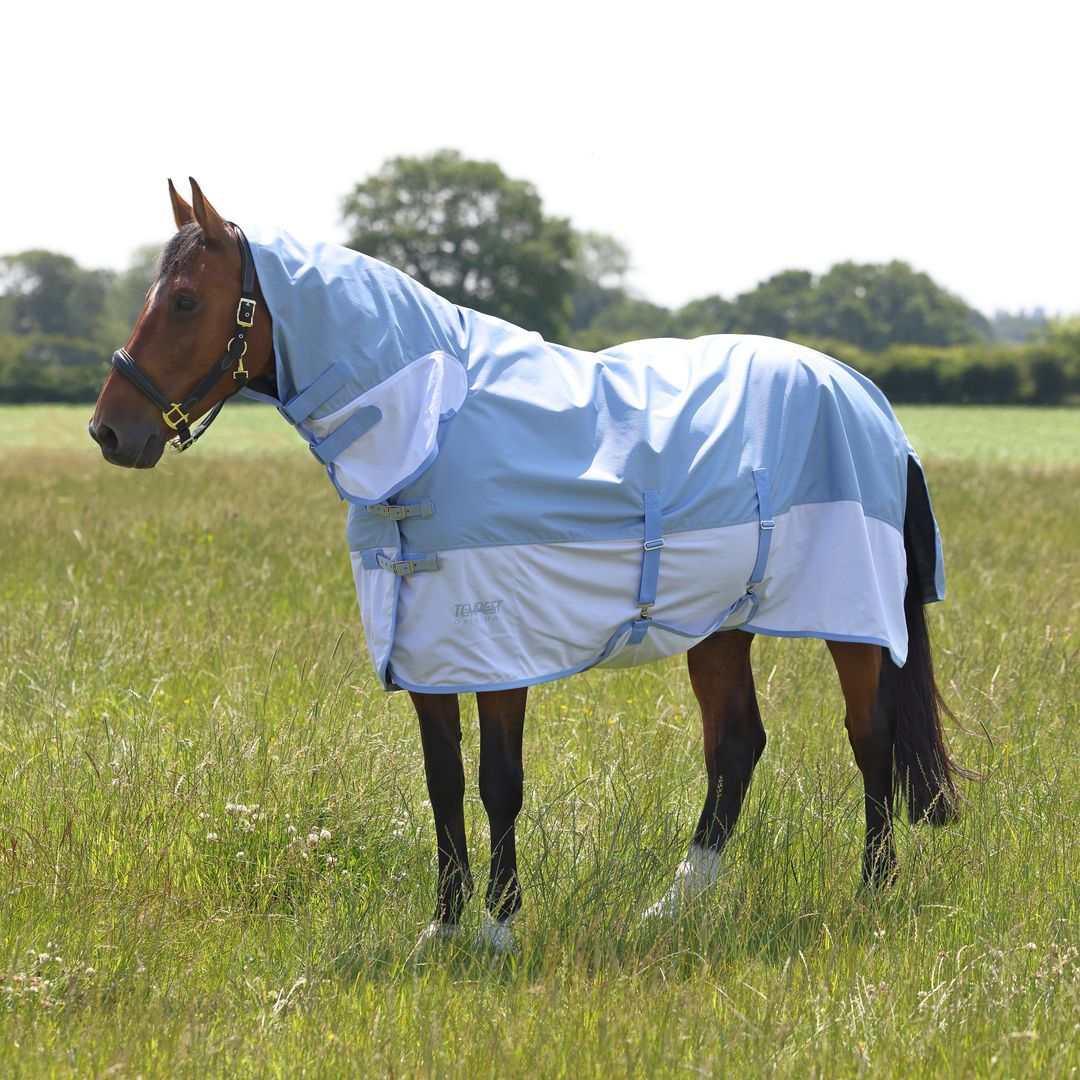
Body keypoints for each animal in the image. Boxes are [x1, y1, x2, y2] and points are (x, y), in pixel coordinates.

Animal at [89, 179, 961, 950]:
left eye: (185, 300)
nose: (109, 431)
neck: (438, 426)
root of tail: (868, 399)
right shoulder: (429, 651)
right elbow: (443, 781)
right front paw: (442, 926)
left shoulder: (498, 649)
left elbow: (497, 782)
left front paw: (501, 925)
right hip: (719, 623)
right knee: (736, 748)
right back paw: (672, 907)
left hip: (854, 620)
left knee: (870, 736)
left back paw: (871, 891)